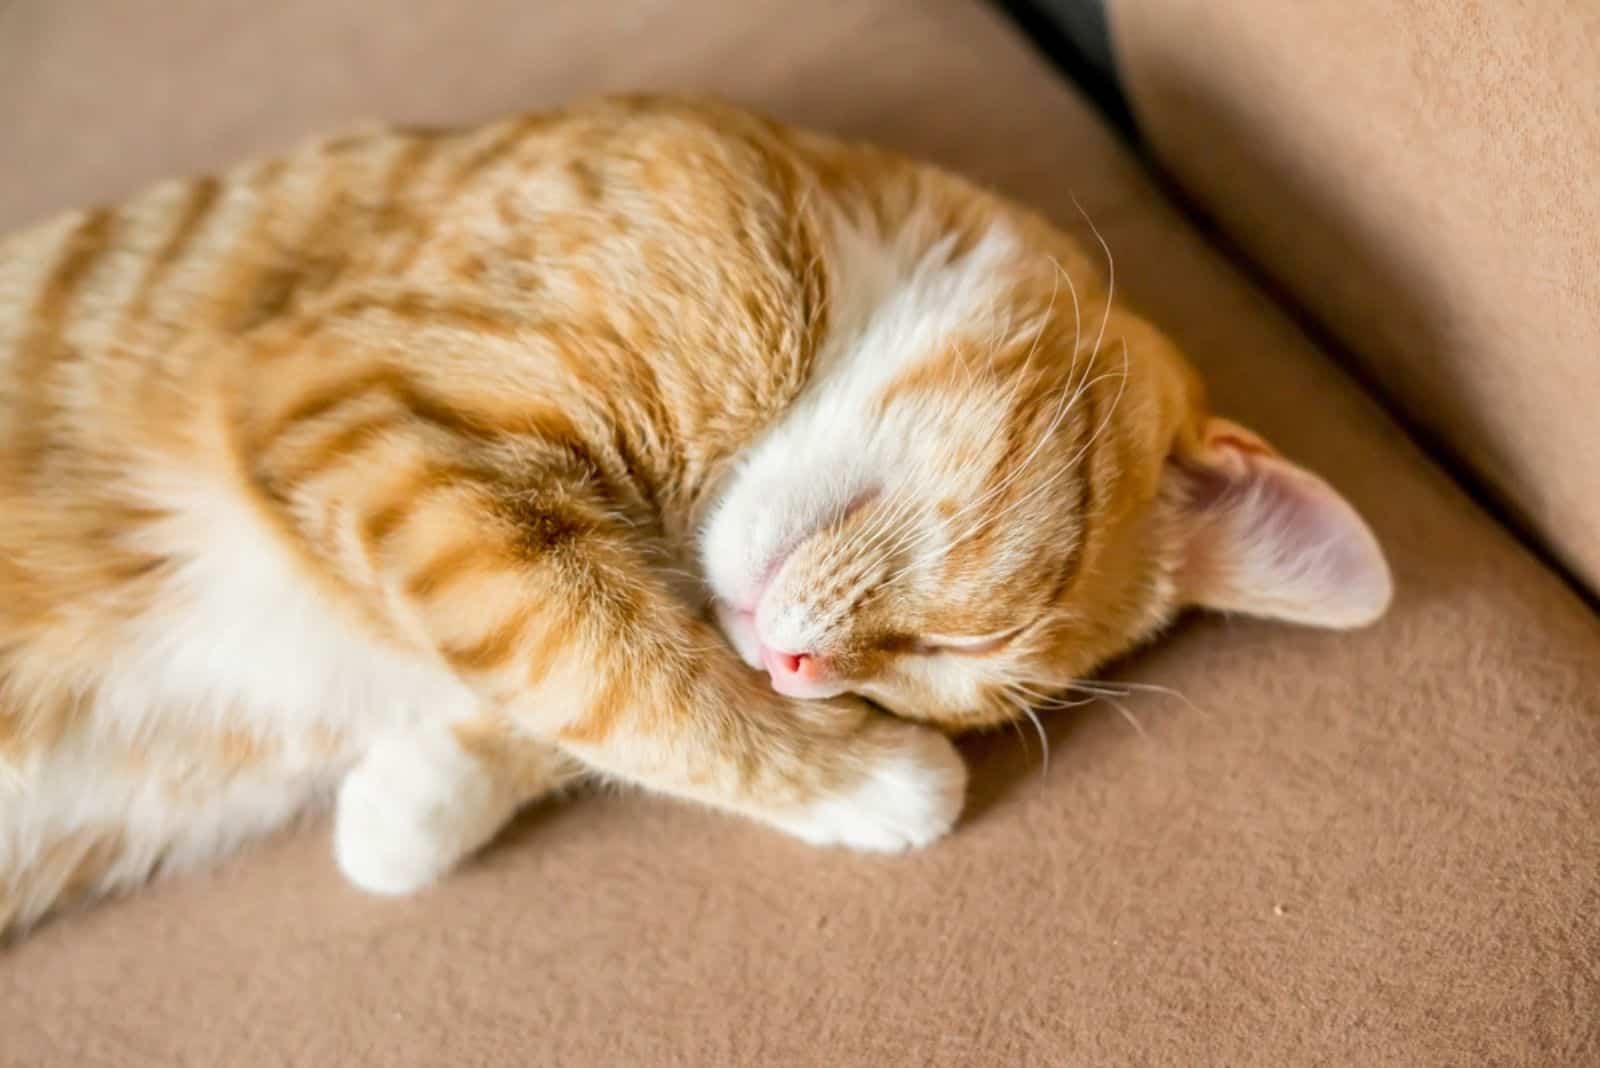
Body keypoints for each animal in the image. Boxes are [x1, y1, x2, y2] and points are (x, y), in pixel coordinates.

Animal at [0, 95, 1388, 940]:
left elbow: (558, 678)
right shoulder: (347, 410)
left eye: (924, 674)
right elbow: (606, 658)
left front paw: (417, 800)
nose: (800, 672)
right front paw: (874, 785)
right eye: (969, 645)